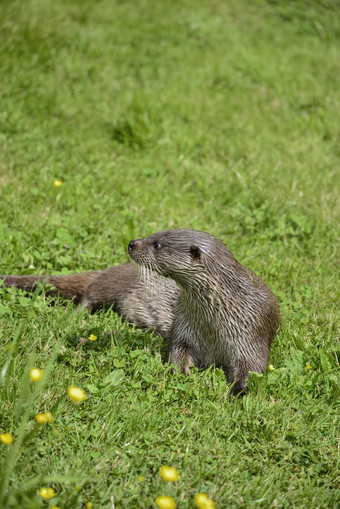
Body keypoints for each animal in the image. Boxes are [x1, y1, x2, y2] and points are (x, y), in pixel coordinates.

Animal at [0, 229, 280, 392]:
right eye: (154, 234)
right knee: (89, 293)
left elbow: (253, 366)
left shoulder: (251, 332)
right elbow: (177, 352)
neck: (214, 325)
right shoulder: (184, 330)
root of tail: (113, 269)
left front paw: (238, 390)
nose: (132, 243)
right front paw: (179, 374)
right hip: (113, 287)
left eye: (157, 244)